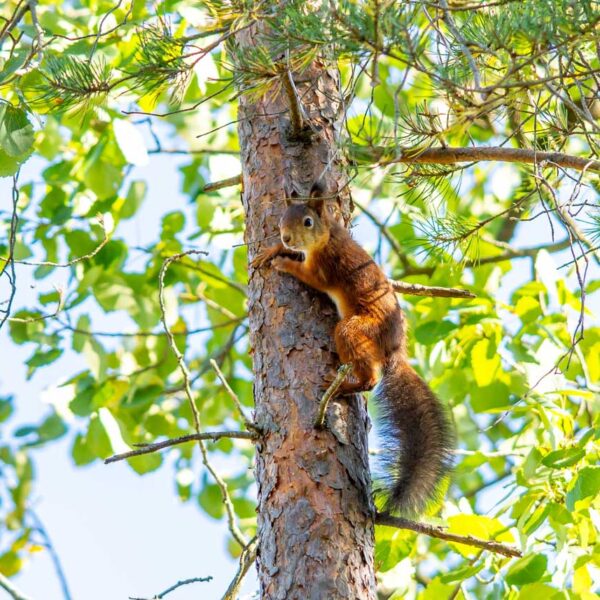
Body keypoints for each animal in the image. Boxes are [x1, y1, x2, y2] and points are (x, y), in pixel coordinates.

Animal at [252, 183, 454, 516]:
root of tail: (395, 349)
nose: (286, 238)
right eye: (283, 219)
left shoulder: (323, 270)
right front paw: (271, 251)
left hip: (354, 329)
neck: (328, 236)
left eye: (307, 222)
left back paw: (344, 386)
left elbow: (307, 274)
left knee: (370, 378)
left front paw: (283, 262)